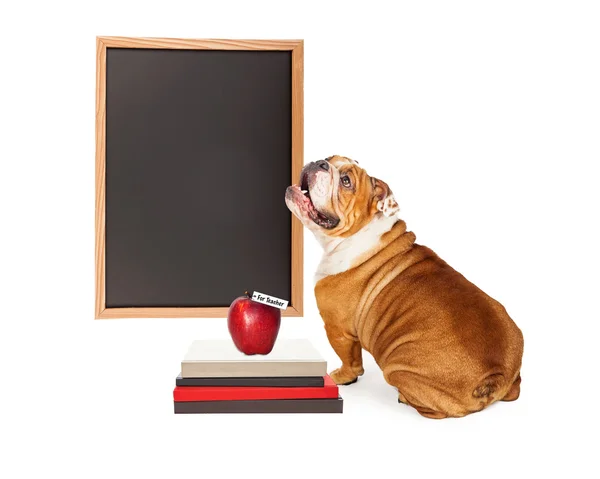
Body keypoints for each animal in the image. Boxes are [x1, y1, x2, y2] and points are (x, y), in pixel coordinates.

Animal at [284, 156, 524, 418]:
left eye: (346, 181)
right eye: (329, 159)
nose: (320, 163)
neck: (357, 233)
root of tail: (496, 374)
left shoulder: (338, 329)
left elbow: (350, 361)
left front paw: (341, 377)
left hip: (396, 368)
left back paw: (404, 398)